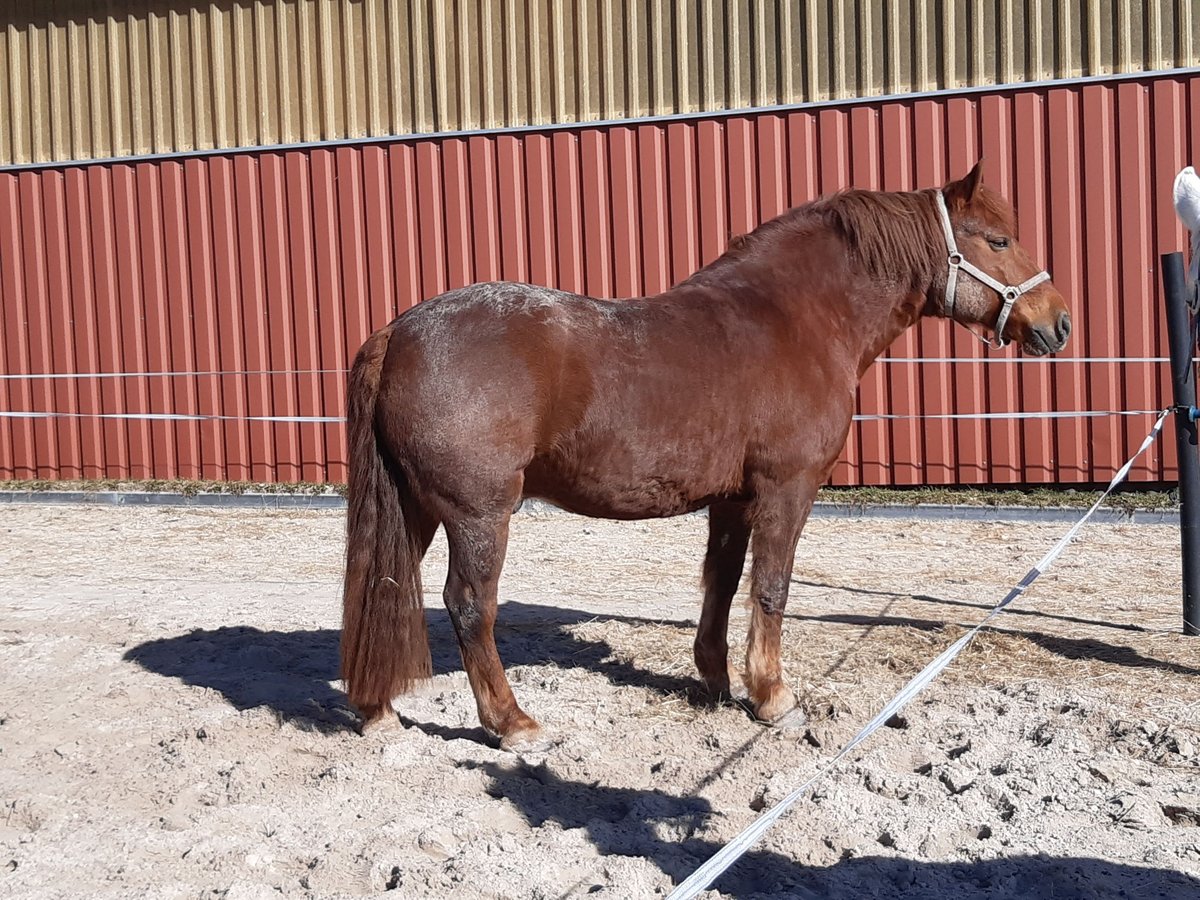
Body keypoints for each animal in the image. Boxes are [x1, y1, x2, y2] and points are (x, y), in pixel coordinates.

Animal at [338, 158, 1070, 748]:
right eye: (998, 239)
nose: (1058, 322)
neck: (791, 319)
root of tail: (399, 332)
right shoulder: (786, 489)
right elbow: (771, 586)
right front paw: (773, 698)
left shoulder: (732, 500)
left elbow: (721, 582)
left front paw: (716, 681)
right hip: (478, 513)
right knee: (468, 606)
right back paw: (512, 723)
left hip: (414, 507)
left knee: (384, 588)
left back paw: (379, 712)